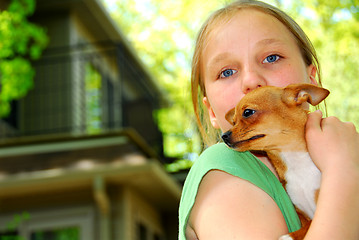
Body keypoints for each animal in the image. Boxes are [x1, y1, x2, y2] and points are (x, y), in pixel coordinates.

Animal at [224, 84, 330, 240]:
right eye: (233, 122)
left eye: (248, 112)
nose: (223, 135)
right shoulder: (302, 214)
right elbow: (308, 223)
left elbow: (310, 225)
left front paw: (289, 236)